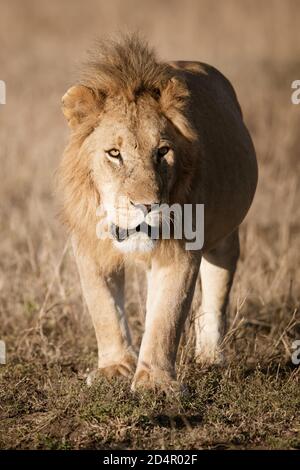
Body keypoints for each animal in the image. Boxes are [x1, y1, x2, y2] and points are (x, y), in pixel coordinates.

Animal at [59, 35, 258, 392]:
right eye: (114, 153)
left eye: (163, 151)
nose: (147, 205)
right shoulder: (88, 248)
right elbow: (104, 309)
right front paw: (115, 368)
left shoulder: (181, 251)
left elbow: (167, 317)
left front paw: (154, 383)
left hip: (225, 236)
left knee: (216, 291)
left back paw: (210, 355)